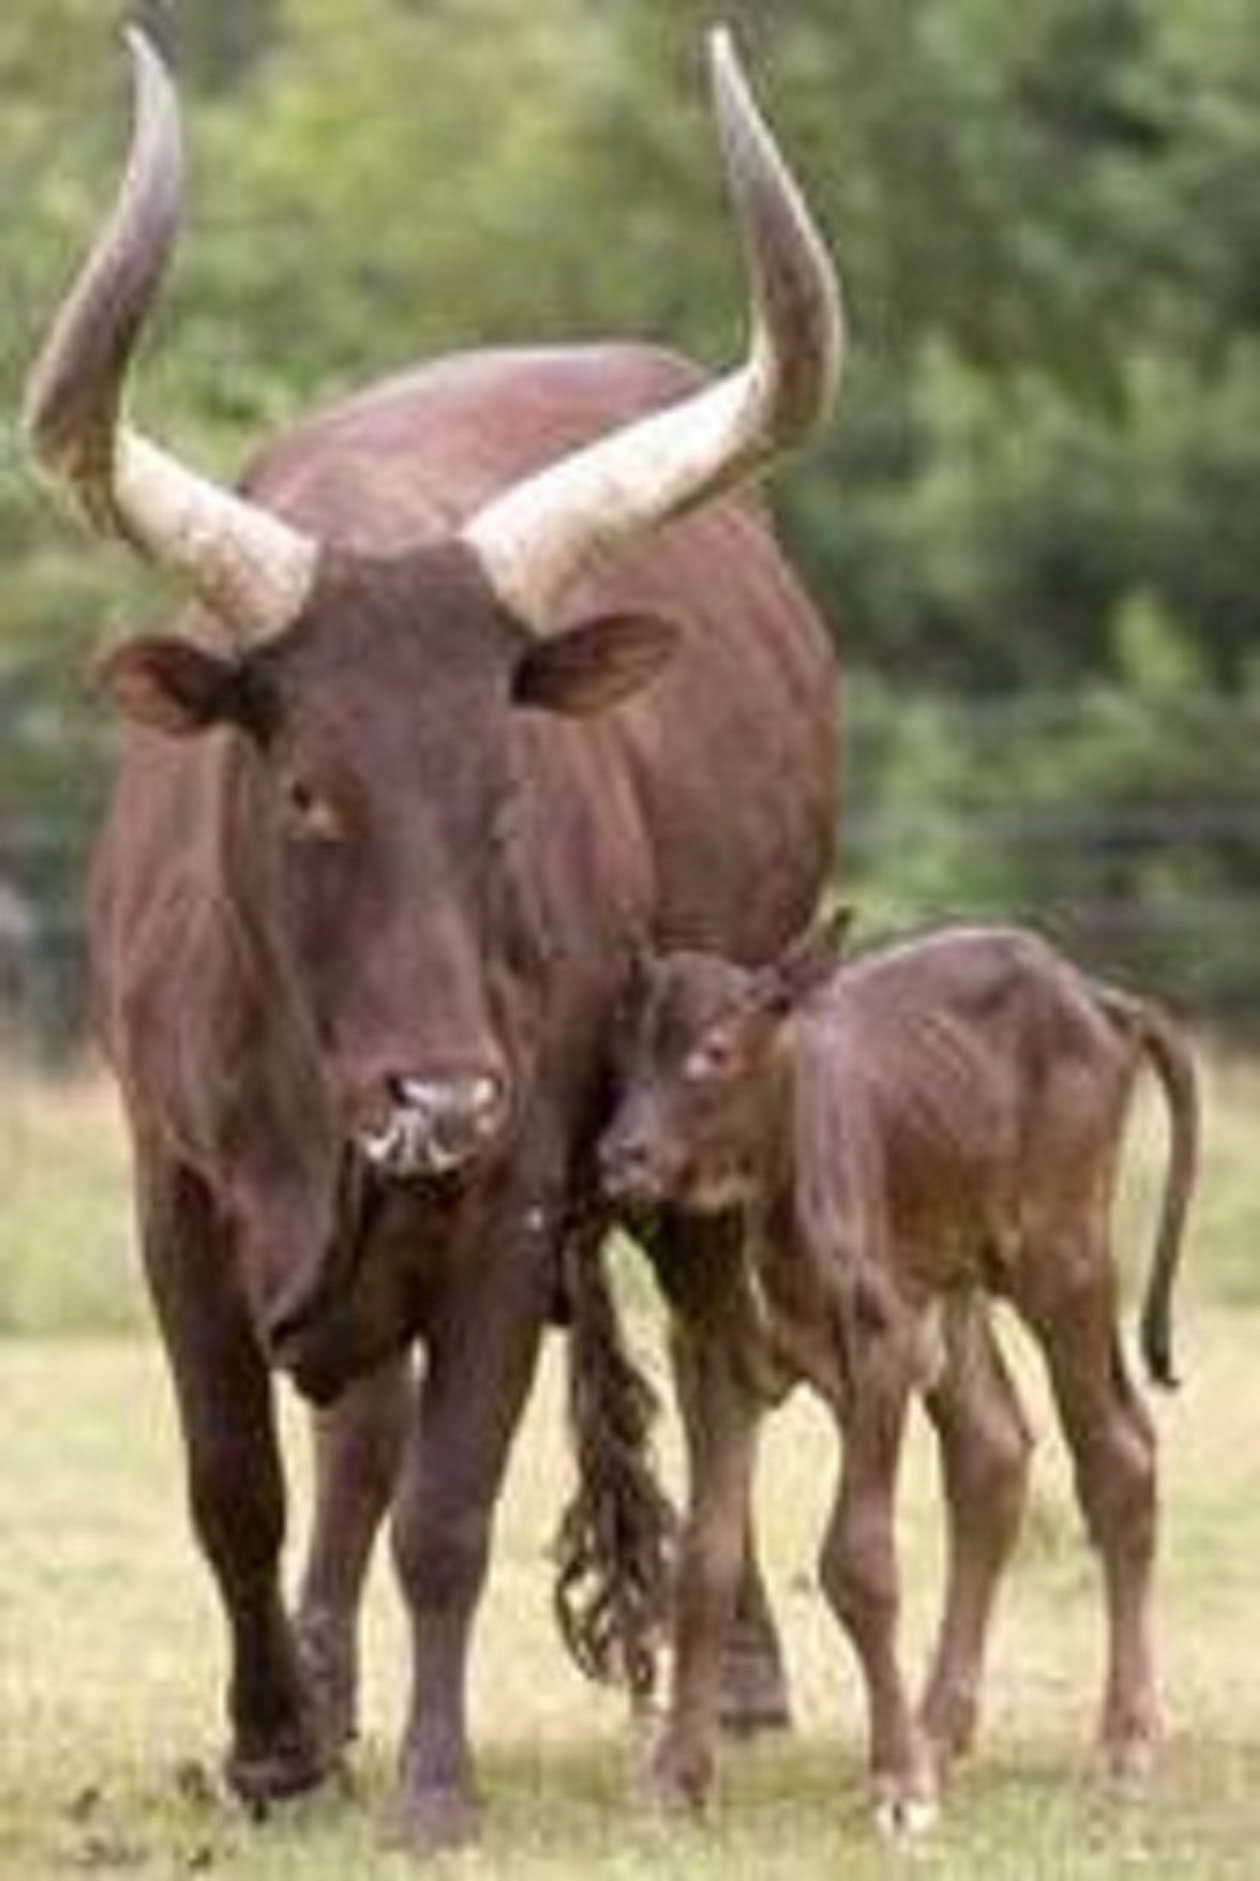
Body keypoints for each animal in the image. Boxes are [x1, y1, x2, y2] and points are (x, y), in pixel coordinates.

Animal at [19, 25, 842, 1850]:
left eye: (504, 788)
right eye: (306, 790)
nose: (438, 1096)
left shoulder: (518, 1184)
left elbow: (450, 1507)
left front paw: (432, 1785)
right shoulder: (173, 1186)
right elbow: (238, 1483)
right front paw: (274, 1742)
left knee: (710, 1360)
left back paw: (742, 1680)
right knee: (354, 1435)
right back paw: (326, 1691)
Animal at [601, 925, 1203, 1835]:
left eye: (715, 1051)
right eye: (626, 1049)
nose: (620, 1155)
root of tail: (1098, 997)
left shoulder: (880, 1343)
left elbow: (859, 1559)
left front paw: (898, 1782)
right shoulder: (709, 1358)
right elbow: (702, 1564)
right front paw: (677, 1776)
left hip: (1062, 1255)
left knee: (1118, 1457)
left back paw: (1126, 1740)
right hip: (953, 1280)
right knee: (993, 1449)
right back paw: (940, 1727)